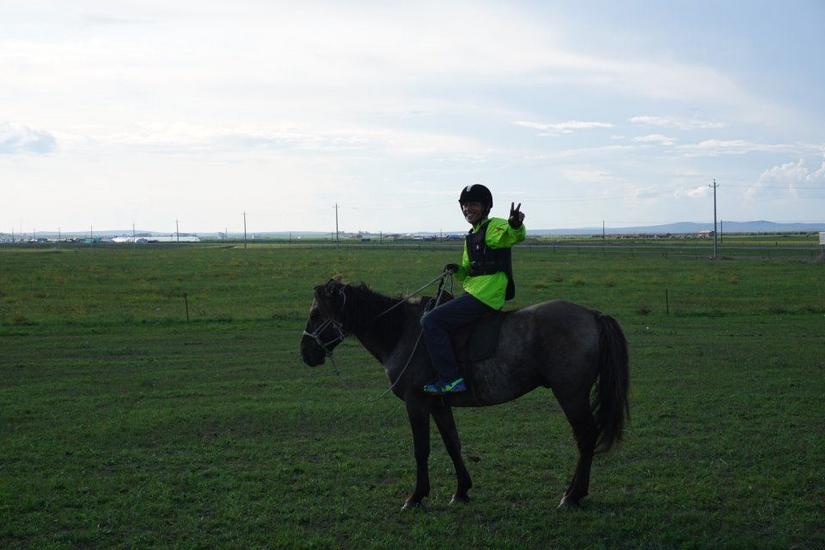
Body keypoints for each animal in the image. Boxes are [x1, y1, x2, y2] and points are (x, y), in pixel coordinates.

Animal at [300, 278, 628, 512]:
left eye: (315, 314)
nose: (306, 353)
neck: (402, 331)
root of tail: (593, 315)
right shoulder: (439, 405)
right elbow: (452, 444)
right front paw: (461, 490)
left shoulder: (416, 404)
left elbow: (421, 450)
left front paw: (416, 496)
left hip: (571, 395)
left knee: (585, 438)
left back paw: (572, 495)